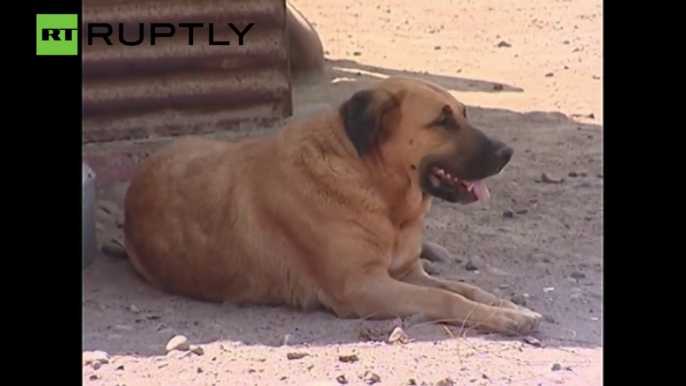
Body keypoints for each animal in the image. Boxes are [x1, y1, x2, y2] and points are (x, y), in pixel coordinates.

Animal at [122, 75, 544, 334]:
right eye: (442, 121)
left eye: (464, 114)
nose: (507, 153)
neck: (378, 190)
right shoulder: (363, 287)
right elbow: (446, 297)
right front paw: (506, 319)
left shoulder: (407, 273)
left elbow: (465, 288)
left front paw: (511, 308)